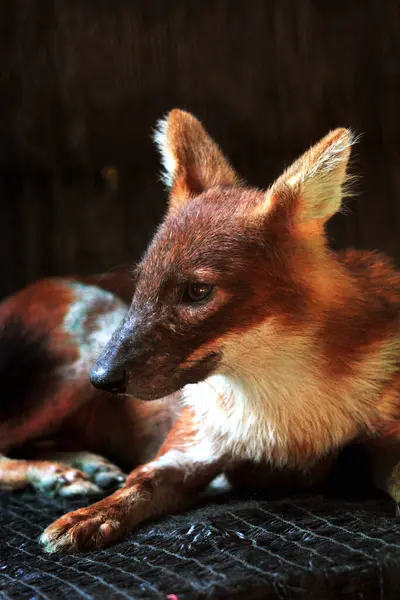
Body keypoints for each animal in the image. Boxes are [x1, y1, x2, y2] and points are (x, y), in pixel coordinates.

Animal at [0, 109, 398, 552]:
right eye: (141, 283)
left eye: (197, 291)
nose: (101, 380)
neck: (283, 413)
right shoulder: (191, 448)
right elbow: (140, 481)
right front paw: (87, 518)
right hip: (78, 349)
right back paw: (55, 474)